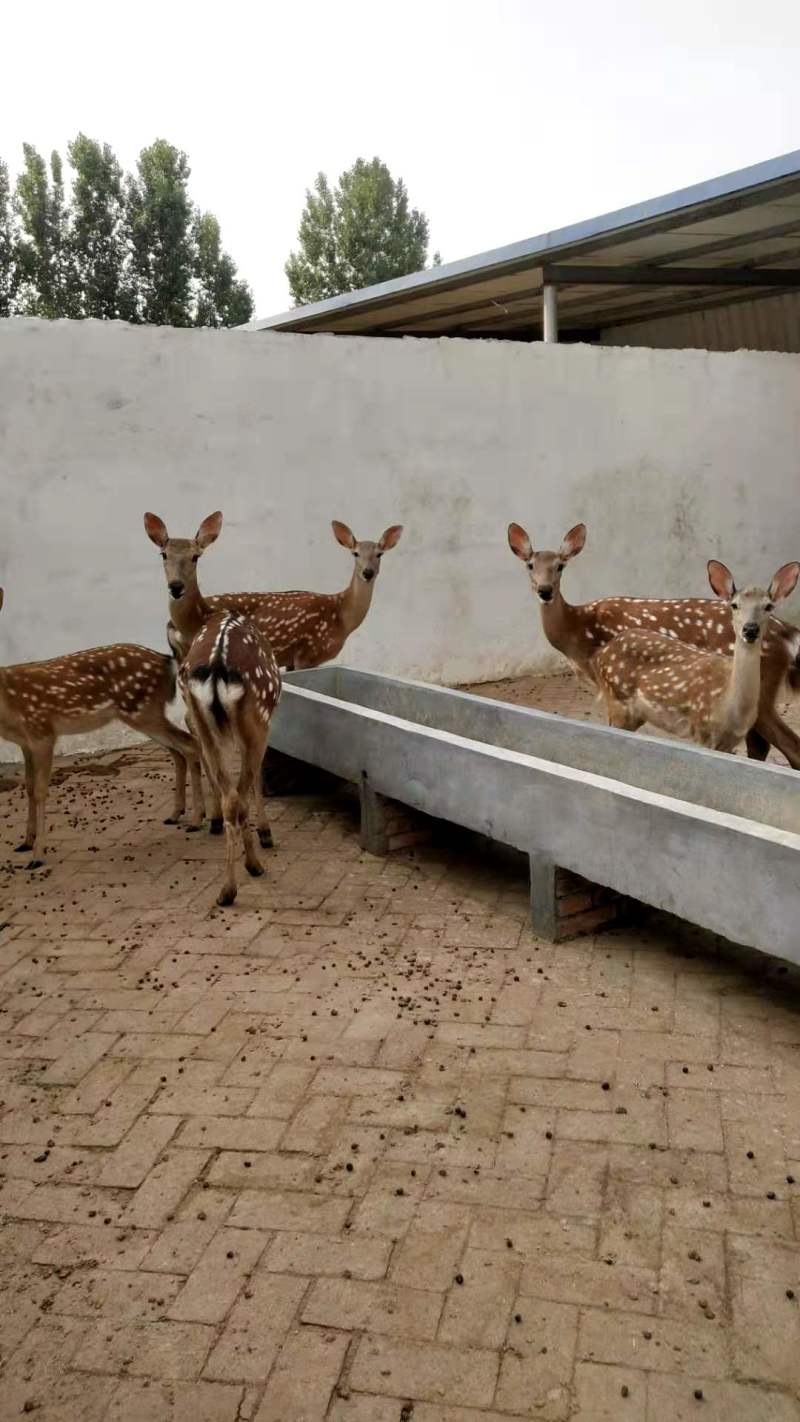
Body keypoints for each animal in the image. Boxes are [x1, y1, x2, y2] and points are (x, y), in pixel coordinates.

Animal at [0, 586, 203, 868]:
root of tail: (167, 661)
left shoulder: (42, 731)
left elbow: (40, 790)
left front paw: (37, 855)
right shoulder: (24, 742)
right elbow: (28, 788)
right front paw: (26, 842)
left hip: (142, 710)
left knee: (190, 743)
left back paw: (199, 820)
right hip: (144, 713)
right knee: (179, 750)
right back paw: (179, 814)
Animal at [143, 513, 282, 903]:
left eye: (195, 556)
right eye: (163, 553)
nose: (175, 587)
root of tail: (218, 666)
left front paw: (213, 821)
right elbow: (253, 780)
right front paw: (265, 834)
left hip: (207, 718)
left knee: (226, 788)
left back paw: (226, 885)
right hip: (255, 717)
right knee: (241, 791)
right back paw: (249, 869)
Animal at [593, 559, 800, 750]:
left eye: (768, 606)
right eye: (734, 605)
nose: (750, 629)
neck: (729, 706)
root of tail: (602, 652)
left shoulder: (729, 743)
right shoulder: (703, 730)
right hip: (618, 701)